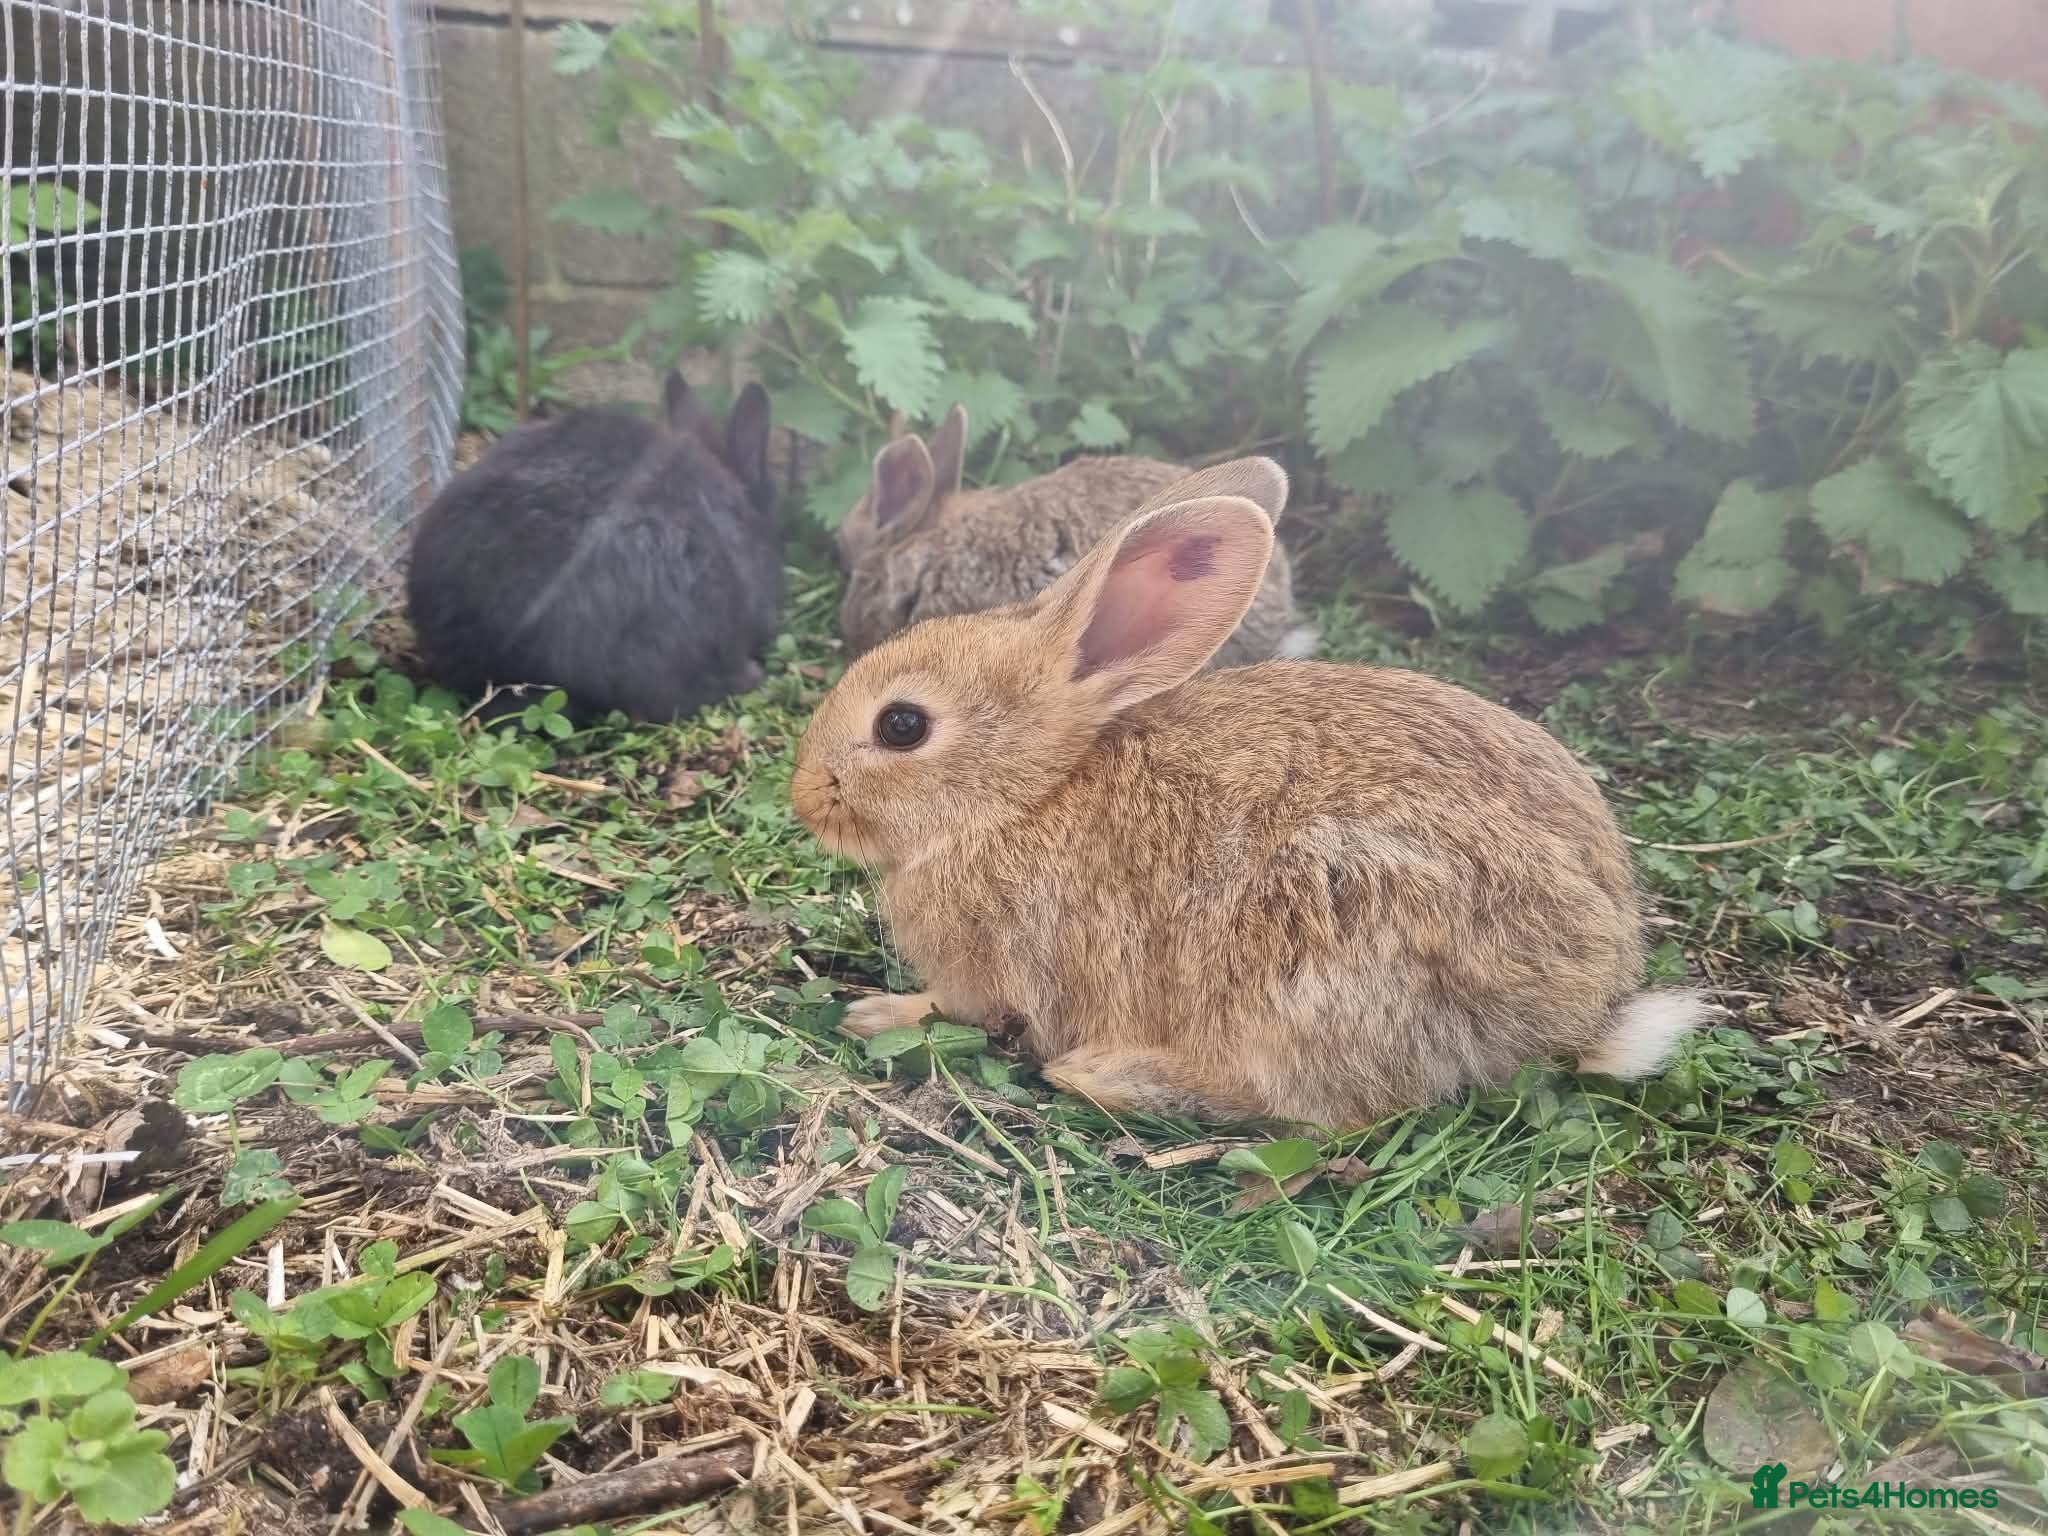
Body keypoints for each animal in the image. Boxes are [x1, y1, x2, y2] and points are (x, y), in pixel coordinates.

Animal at [790, 456, 1709, 1132]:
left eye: (902, 726)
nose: (805, 798)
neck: (1027, 794)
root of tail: (1584, 1001)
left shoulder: (1001, 973)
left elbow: (955, 1008)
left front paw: (875, 1015)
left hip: (1325, 954)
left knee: (1320, 1107)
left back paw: (1109, 1074)